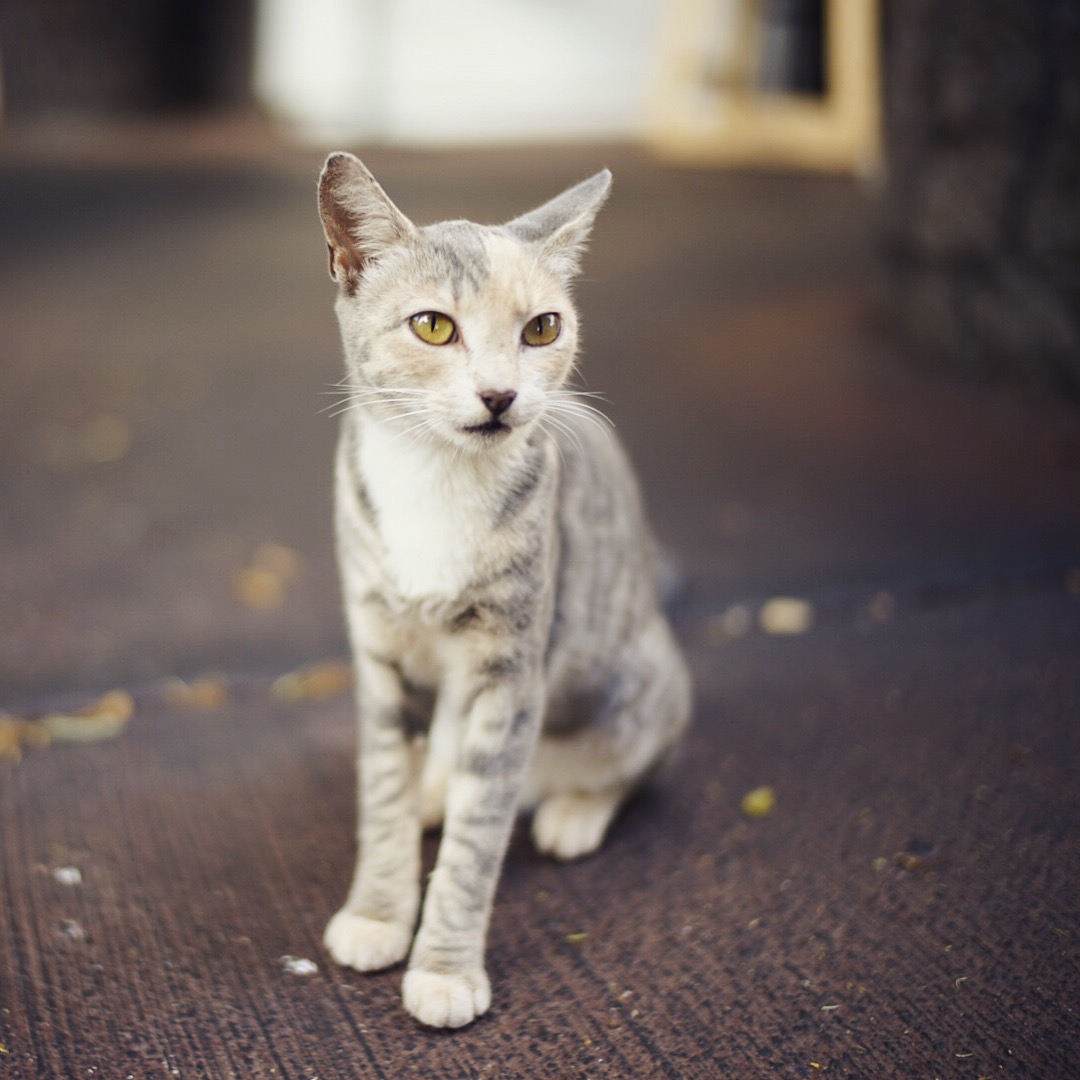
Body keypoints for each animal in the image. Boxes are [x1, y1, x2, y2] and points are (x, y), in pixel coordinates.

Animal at [315, 154, 695, 1028]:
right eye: (432, 327)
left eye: (542, 329)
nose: (500, 396)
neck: (435, 480)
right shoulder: (379, 653)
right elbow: (381, 793)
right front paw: (378, 911)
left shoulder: (513, 670)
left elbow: (478, 839)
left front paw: (445, 968)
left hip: (633, 683)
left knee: (640, 759)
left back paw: (573, 809)